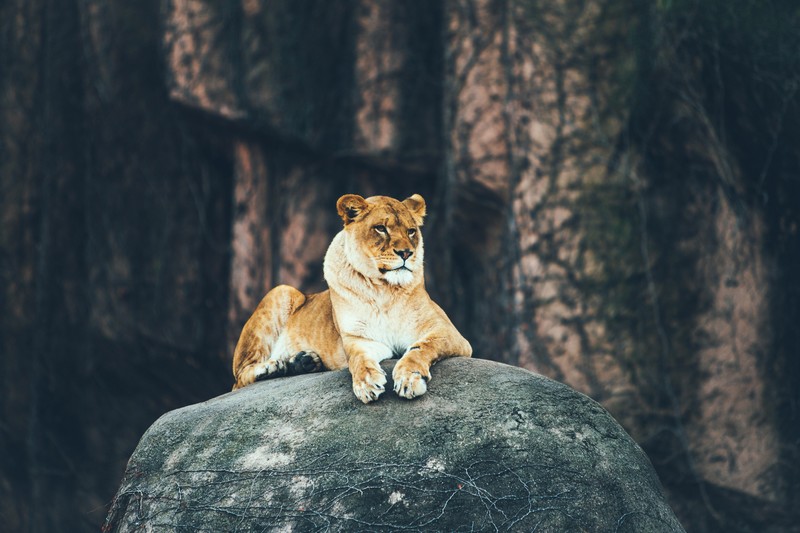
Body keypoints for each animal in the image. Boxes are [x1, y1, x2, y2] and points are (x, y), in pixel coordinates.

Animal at [231, 193, 472, 403]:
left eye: (411, 231)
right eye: (381, 228)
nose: (406, 253)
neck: (385, 290)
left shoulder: (449, 333)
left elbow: (421, 348)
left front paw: (409, 377)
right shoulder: (358, 337)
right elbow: (358, 359)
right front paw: (366, 383)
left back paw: (302, 362)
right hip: (281, 290)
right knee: (240, 378)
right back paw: (273, 366)